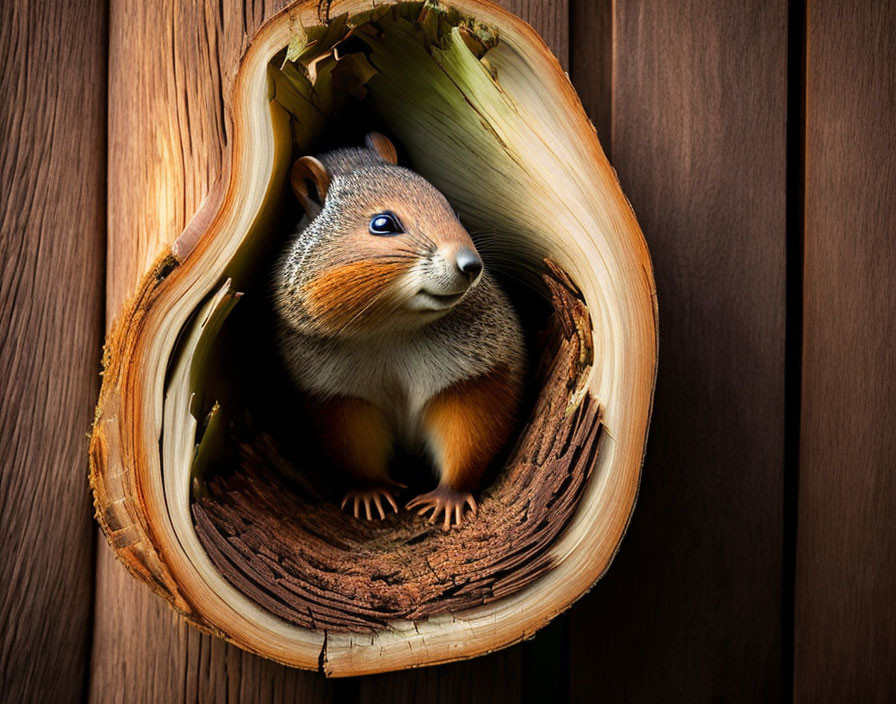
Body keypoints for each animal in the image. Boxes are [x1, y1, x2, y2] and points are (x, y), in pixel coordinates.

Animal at [272, 132, 524, 528]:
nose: (471, 264)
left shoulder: (473, 377)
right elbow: (354, 451)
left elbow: (470, 436)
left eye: (452, 208)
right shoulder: (338, 397)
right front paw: (370, 493)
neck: (391, 328)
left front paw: (448, 497)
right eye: (382, 224)